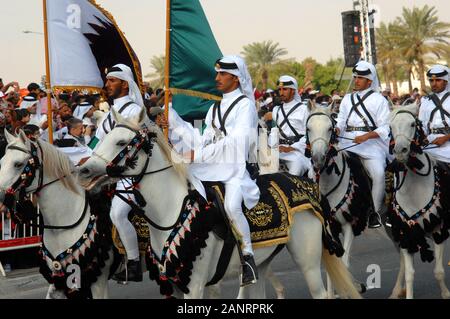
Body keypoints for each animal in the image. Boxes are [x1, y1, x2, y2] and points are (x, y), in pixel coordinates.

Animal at [76, 109, 362, 300]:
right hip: (264, 263)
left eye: (122, 142)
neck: (170, 213)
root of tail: (307, 186)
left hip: (308, 261)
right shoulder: (176, 286)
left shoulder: (194, 285)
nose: (84, 170)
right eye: (104, 137)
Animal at [388, 105, 448, 300]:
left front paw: (445, 293)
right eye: (391, 126)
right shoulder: (407, 235)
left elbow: (439, 271)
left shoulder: (438, 230)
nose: (400, 151)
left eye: (412, 124)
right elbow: (409, 274)